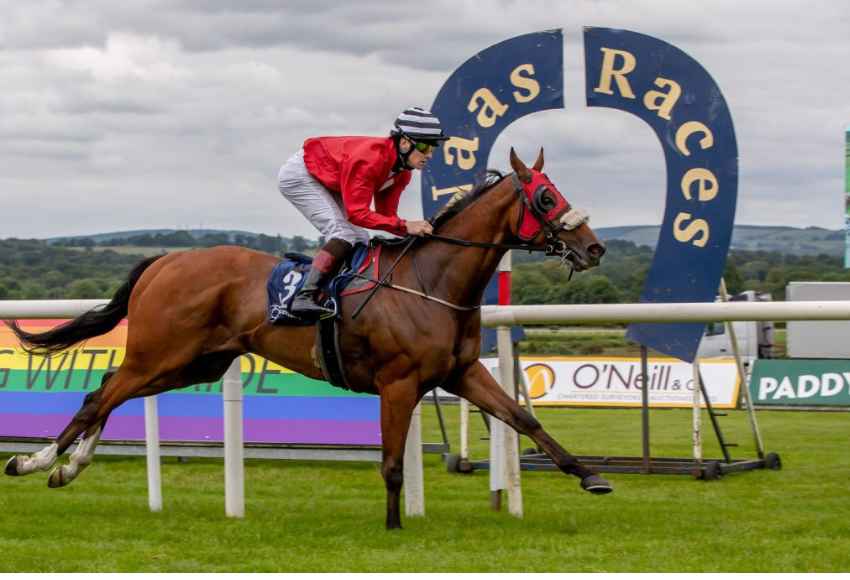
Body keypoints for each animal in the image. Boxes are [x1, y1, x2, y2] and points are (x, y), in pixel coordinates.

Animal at [3, 146, 608, 532]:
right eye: (547, 198)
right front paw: (394, 527)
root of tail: (166, 259)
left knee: (109, 387)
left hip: (190, 362)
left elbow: (522, 418)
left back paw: (67, 468)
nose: (594, 247)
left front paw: (590, 477)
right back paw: (33, 462)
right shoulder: (399, 382)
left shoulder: (462, 372)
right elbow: (392, 460)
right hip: (162, 352)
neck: (431, 282)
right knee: (98, 395)